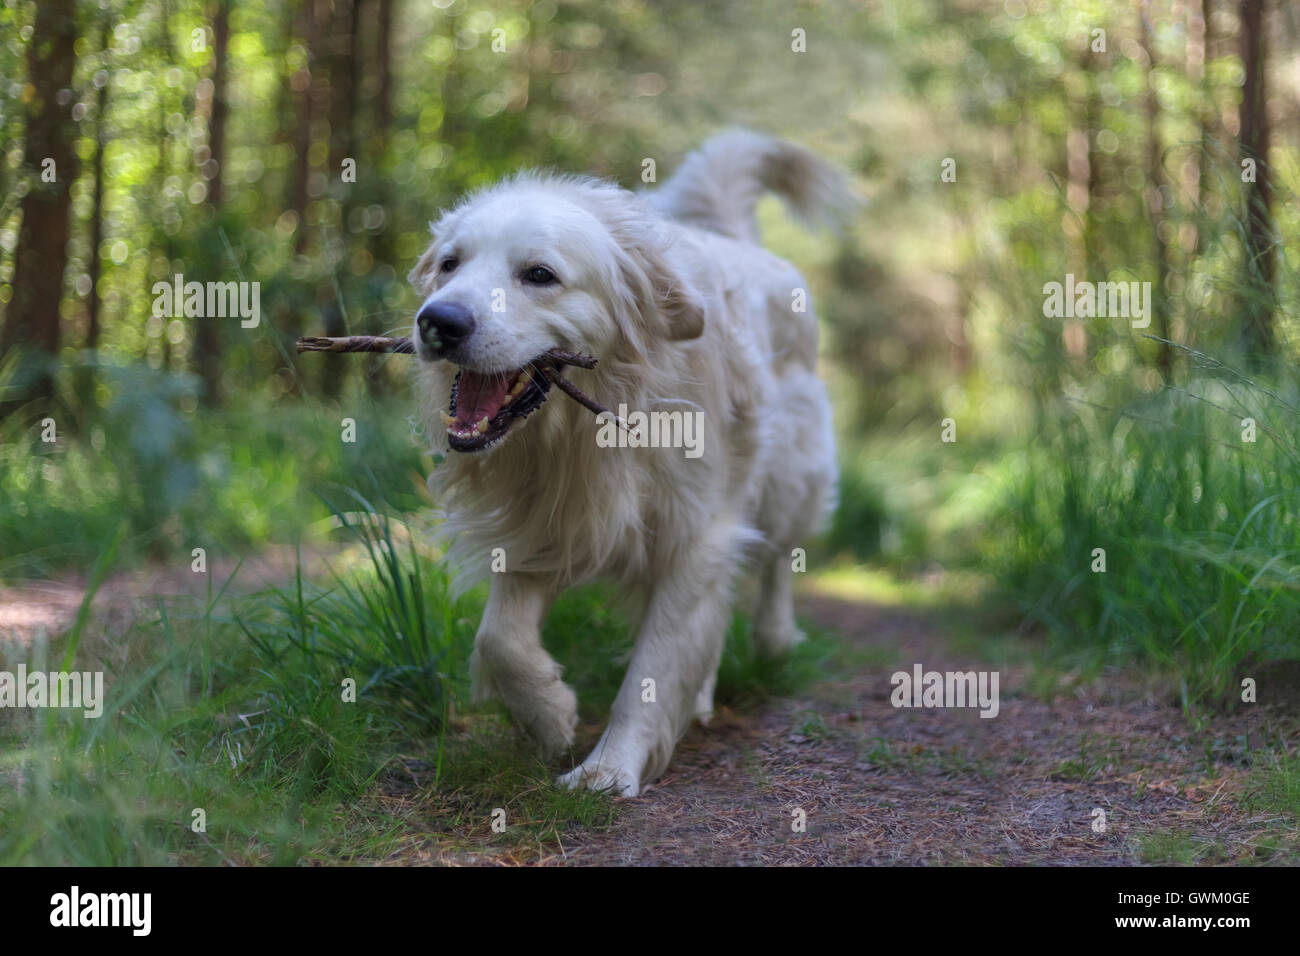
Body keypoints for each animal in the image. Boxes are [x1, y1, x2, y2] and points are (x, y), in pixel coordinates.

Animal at [410, 130, 847, 796]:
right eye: (450, 264)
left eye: (539, 275)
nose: (439, 321)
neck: (593, 427)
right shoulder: (545, 522)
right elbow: (500, 639)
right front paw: (550, 715)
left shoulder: (697, 535)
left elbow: (653, 668)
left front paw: (609, 768)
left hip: (791, 478)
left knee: (778, 559)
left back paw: (773, 639)